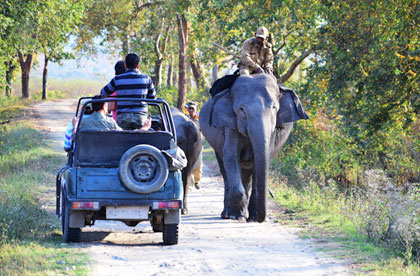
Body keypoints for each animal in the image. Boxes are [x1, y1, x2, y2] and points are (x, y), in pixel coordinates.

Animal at [199, 73, 306, 222]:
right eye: (241, 109)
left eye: (274, 108)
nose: (260, 218)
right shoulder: (229, 124)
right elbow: (230, 155)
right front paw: (236, 216)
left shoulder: (273, 128)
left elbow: (263, 156)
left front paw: (254, 218)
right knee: (225, 169)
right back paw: (227, 214)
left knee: (246, 174)